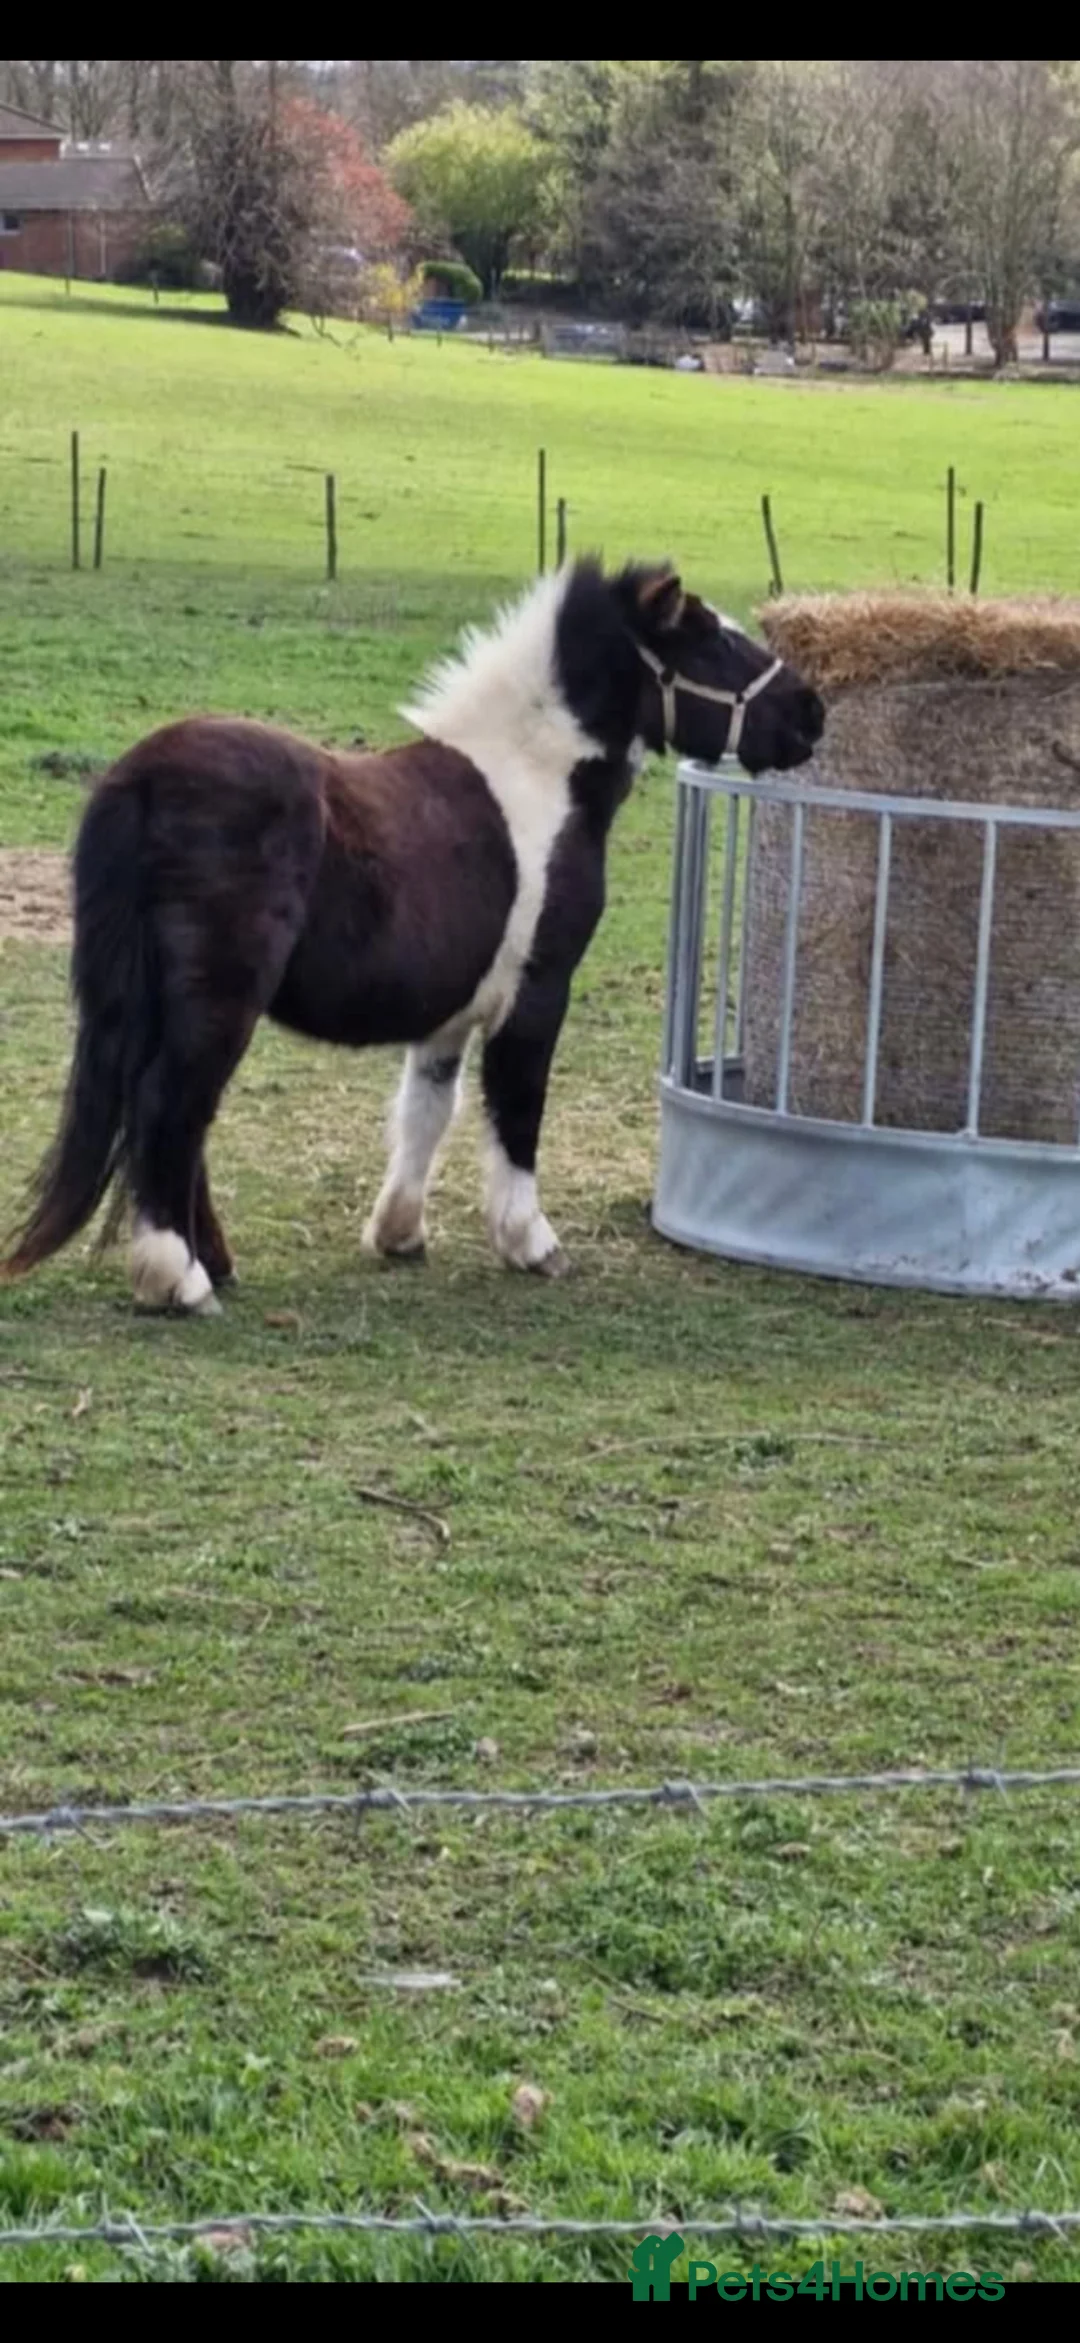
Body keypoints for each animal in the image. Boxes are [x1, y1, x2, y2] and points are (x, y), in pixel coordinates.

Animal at [2, 559, 824, 1313]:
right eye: (711, 638)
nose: (811, 711)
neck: (536, 777)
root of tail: (140, 775)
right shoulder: (537, 994)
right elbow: (517, 1108)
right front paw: (531, 1242)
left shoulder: (448, 1013)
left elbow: (428, 1110)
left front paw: (398, 1234)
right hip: (217, 1000)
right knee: (169, 1108)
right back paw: (180, 1279)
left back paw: (214, 1263)